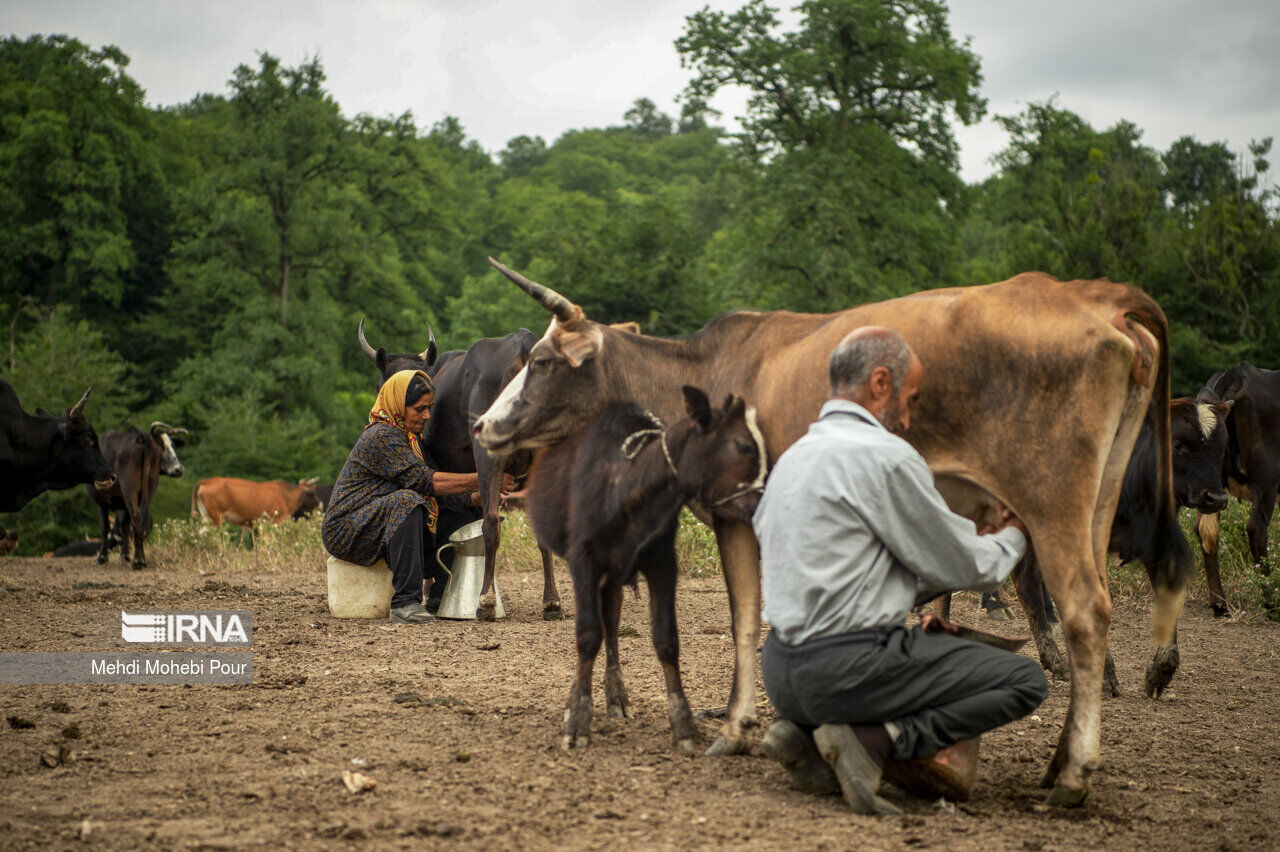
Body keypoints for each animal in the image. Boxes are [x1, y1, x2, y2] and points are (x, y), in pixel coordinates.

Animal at [189, 473, 320, 527]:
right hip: (216, 517)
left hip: (205, 516)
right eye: (312, 493)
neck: (286, 496)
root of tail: (208, 481)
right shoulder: (275, 519)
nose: (320, 503)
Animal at [522, 383, 762, 752]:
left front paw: (684, 725)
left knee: (611, 623)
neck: (625, 485)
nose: (763, 500)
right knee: (600, 627)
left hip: (613, 578)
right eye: (743, 445)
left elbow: (666, 639)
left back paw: (617, 697)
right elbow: (587, 635)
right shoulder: (583, 561)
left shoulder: (663, 563)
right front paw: (577, 720)